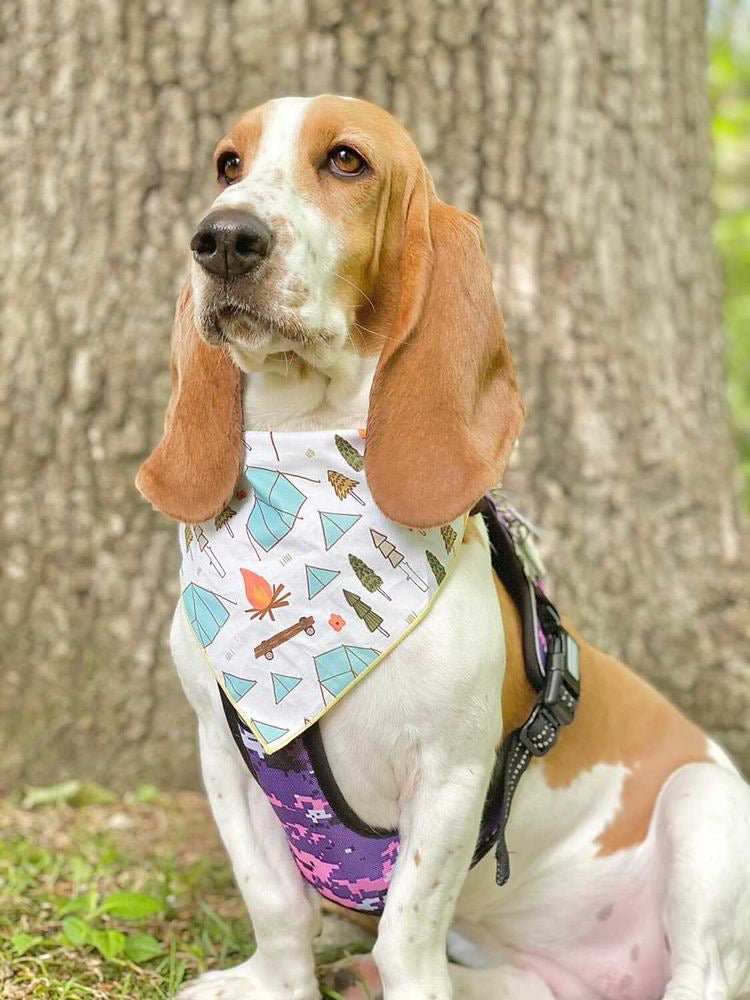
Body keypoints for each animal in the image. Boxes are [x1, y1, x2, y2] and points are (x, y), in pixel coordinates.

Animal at [137, 95, 750, 1000]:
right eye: (227, 164)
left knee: (700, 974)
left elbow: (408, 928)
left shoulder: (452, 779)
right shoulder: (224, 760)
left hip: (703, 805)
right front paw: (275, 982)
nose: (222, 238)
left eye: (347, 161)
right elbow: (276, 907)